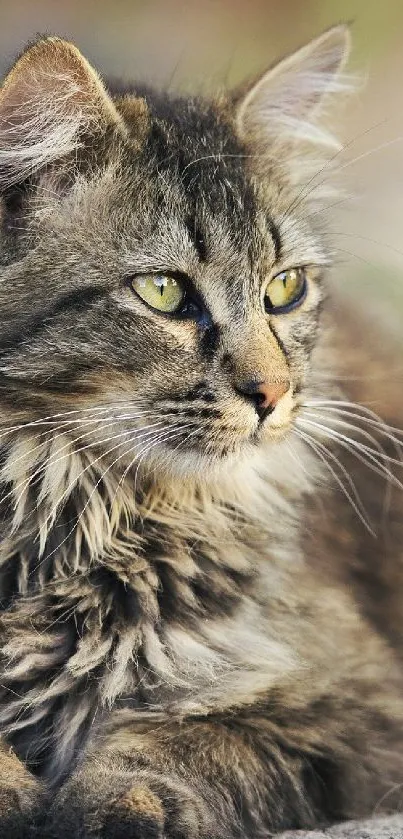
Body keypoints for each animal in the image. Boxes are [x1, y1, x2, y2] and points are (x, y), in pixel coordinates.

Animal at [0, 26, 403, 839]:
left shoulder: (358, 705)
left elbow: (187, 742)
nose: (273, 395)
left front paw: (112, 806)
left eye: (284, 288)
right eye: (162, 292)